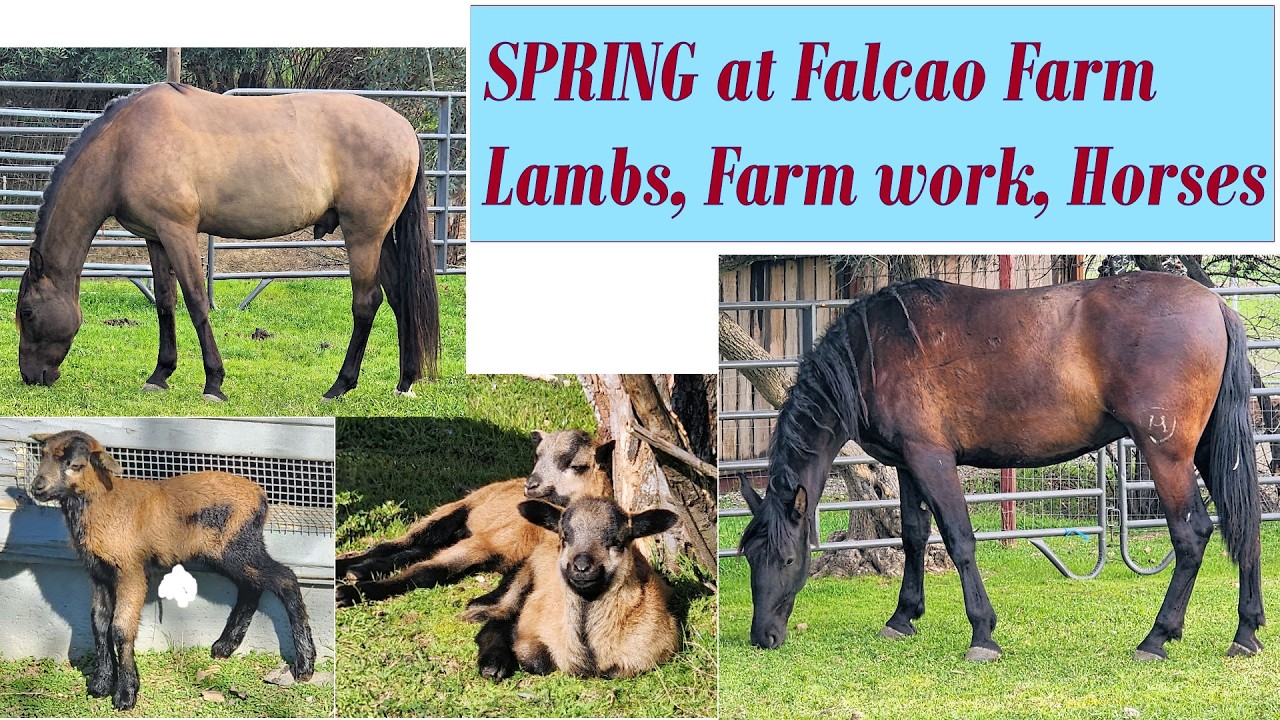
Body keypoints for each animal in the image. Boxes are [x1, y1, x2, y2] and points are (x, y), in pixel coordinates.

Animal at [15, 82, 440, 401]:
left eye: (28, 313)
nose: (31, 377)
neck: (125, 145)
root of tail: (405, 129)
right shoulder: (156, 237)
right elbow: (165, 303)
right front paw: (160, 374)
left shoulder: (179, 232)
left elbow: (196, 301)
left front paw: (213, 382)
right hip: (380, 239)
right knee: (400, 298)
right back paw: (405, 381)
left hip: (362, 235)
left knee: (366, 304)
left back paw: (340, 385)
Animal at [740, 272, 1264, 662]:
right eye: (748, 557)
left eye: (788, 560)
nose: (762, 637)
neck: (872, 351)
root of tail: (1215, 306)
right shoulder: (907, 465)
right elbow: (912, 535)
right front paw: (903, 617)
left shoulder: (932, 459)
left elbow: (959, 540)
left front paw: (982, 634)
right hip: (1207, 449)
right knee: (1246, 523)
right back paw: (1246, 632)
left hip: (1166, 453)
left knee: (1192, 534)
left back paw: (1157, 637)